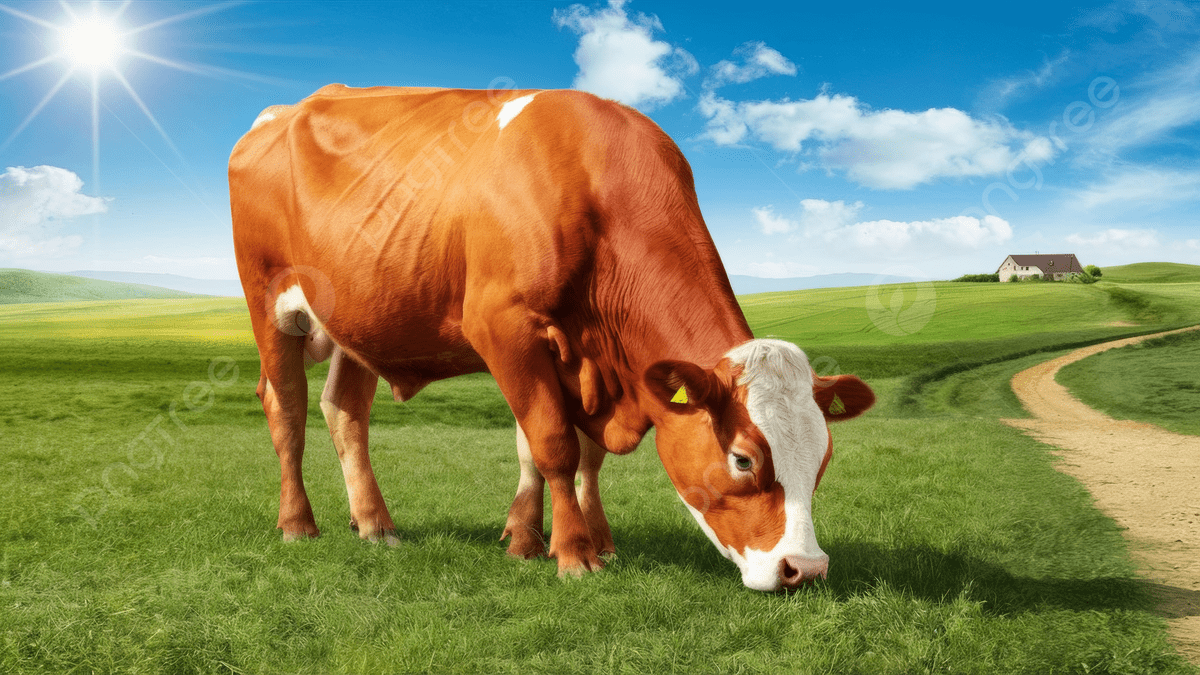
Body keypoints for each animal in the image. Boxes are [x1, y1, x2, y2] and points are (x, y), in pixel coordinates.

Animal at [229, 84, 875, 592]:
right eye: (743, 458)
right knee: (286, 408)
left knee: (344, 411)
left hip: (359, 322)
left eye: (823, 457)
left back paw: (375, 524)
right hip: (270, 303)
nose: (805, 569)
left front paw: (549, 538)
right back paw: (298, 524)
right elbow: (553, 442)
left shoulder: (582, 358)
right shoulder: (504, 327)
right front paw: (572, 554)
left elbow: (571, 453)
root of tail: (283, 110)